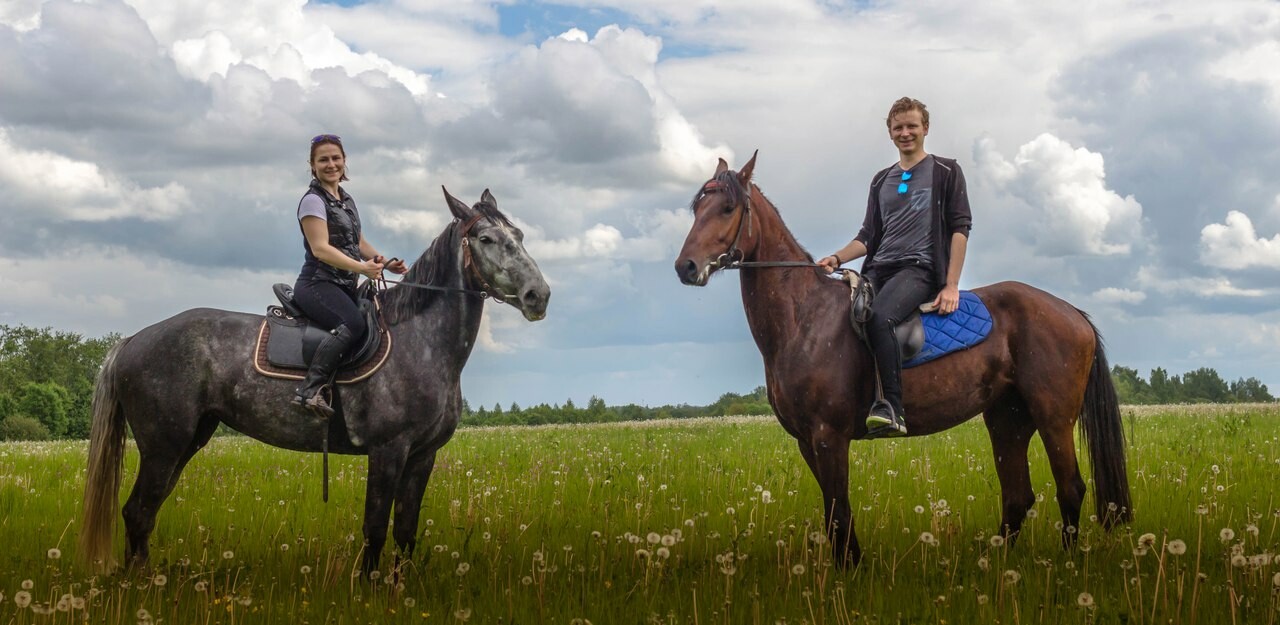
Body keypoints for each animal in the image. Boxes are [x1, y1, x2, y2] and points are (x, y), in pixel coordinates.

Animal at [78, 188, 550, 573]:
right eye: (485, 239)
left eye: (520, 234)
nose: (538, 296)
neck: (420, 341)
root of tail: (134, 340)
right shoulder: (388, 451)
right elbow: (375, 528)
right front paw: (370, 590)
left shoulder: (422, 456)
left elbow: (406, 532)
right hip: (164, 445)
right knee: (138, 512)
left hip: (187, 441)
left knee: (145, 513)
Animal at [670, 152, 1131, 566]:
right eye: (697, 208)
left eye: (728, 207)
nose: (685, 267)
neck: (804, 317)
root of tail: (1072, 313)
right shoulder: (806, 441)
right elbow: (834, 514)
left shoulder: (828, 436)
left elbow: (839, 513)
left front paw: (848, 576)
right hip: (1008, 418)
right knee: (1018, 496)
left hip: (1053, 418)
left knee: (1070, 488)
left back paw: (1066, 568)